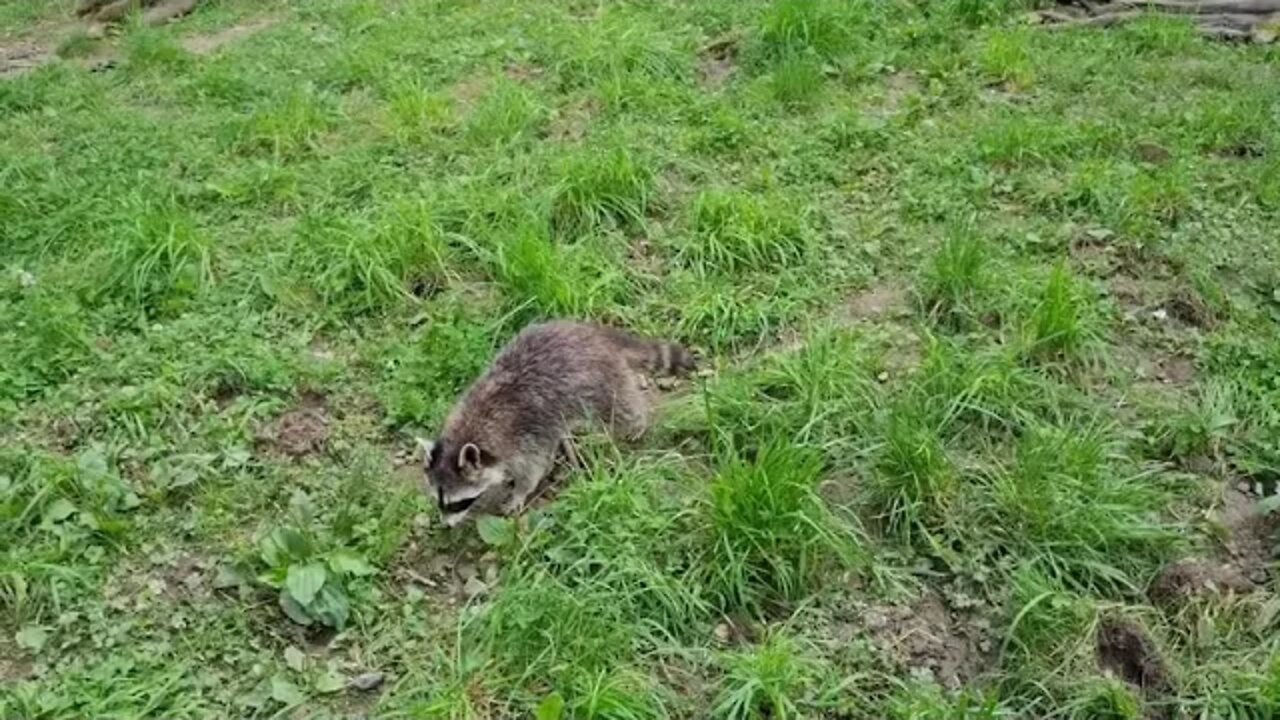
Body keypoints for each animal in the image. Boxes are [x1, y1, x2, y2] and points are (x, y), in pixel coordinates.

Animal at [419, 321, 695, 527]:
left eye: (456, 503)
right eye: (438, 500)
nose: (445, 525)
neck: (471, 427)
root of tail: (594, 334)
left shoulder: (527, 433)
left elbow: (534, 468)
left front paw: (519, 492)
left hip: (601, 381)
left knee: (622, 408)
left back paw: (636, 423)